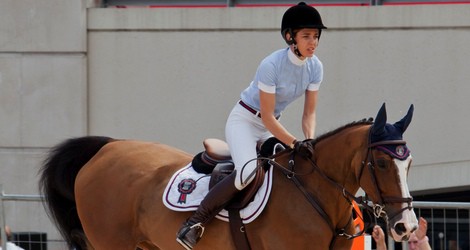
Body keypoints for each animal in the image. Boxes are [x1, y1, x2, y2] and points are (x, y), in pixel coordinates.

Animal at [38, 102, 416, 249]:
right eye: (382, 164)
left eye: (408, 163)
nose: (406, 227)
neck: (313, 192)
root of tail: (106, 149)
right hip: (112, 243)